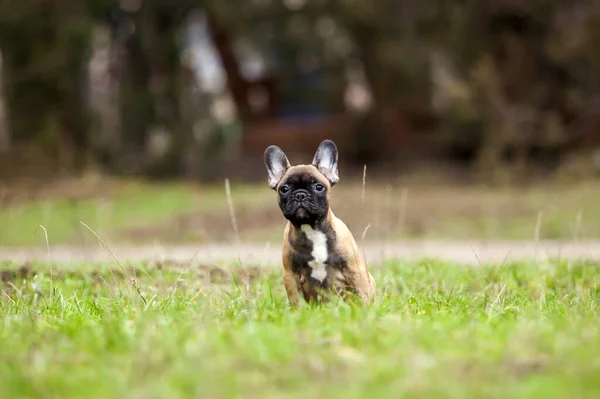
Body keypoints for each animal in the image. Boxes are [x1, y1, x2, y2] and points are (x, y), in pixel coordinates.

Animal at [262, 141, 376, 306]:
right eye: (284, 188)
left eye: (318, 187)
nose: (300, 194)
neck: (311, 229)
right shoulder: (290, 276)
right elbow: (296, 300)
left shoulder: (355, 271)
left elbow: (361, 295)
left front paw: (364, 309)